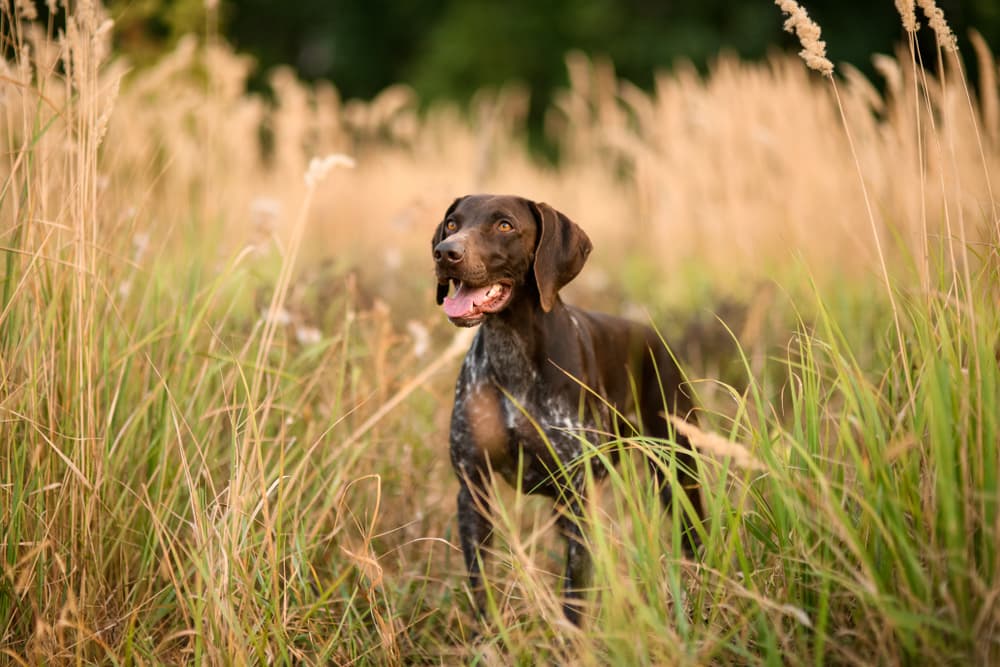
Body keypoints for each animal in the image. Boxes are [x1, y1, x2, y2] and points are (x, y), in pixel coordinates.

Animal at [432, 194, 704, 628]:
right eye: (452, 224)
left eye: (505, 225)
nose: (445, 252)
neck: (512, 352)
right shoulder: (473, 491)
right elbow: (481, 586)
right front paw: (486, 638)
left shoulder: (577, 497)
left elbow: (575, 594)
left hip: (678, 473)